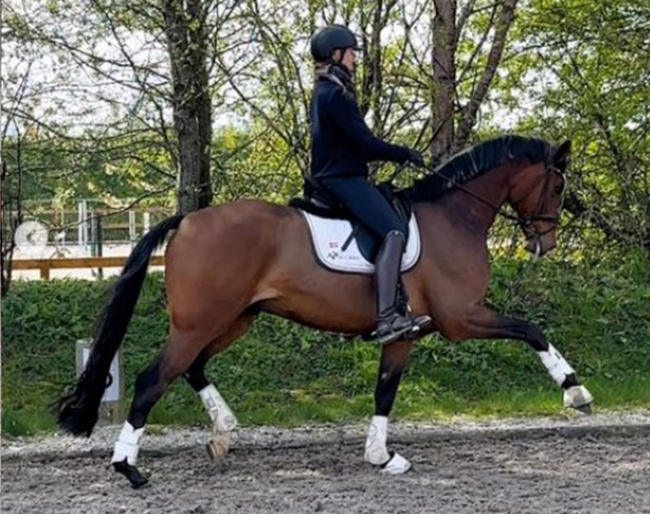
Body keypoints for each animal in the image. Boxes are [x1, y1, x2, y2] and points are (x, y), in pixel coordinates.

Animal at [57, 134, 592, 486]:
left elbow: (385, 392)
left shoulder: (404, 334)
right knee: (154, 378)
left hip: (234, 318)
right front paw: (575, 391)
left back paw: (222, 433)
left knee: (192, 367)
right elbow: (531, 329)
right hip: (201, 321)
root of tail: (188, 220)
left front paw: (381, 455)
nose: (544, 244)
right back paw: (128, 467)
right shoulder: (461, 318)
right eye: (558, 188)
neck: (455, 216)